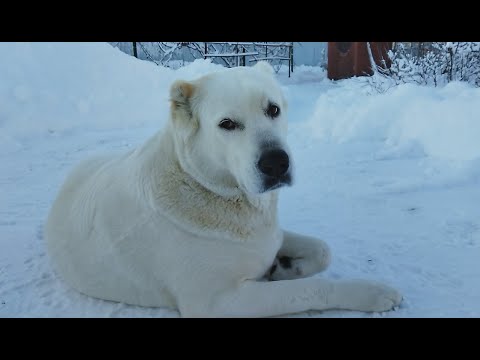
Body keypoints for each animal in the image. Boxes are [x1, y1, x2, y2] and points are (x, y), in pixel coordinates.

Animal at [47, 62, 404, 318]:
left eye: (273, 109)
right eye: (227, 124)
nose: (276, 162)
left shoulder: (268, 235)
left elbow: (323, 249)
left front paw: (285, 267)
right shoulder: (218, 303)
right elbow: (312, 289)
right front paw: (372, 292)